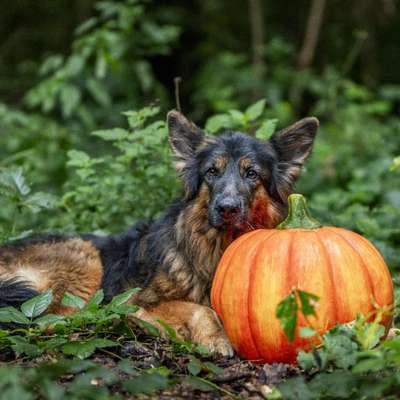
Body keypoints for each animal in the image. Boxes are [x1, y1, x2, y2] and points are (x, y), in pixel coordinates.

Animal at [0, 111, 318, 354]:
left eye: (251, 174)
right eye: (211, 172)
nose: (226, 208)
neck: (217, 249)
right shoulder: (138, 298)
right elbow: (199, 309)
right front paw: (214, 338)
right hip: (84, 260)